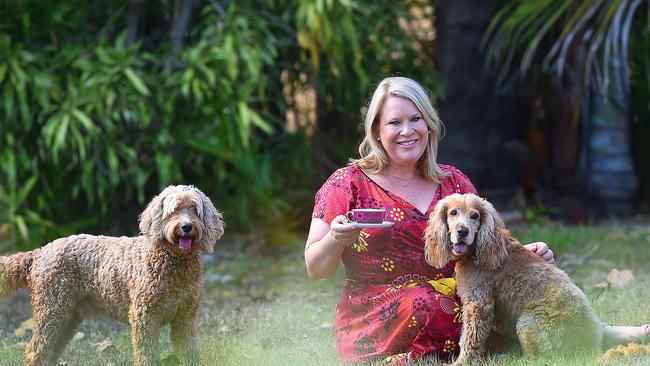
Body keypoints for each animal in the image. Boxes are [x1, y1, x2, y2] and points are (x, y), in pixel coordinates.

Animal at [0, 186, 223, 366]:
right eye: (174, 210)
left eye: (194, 209)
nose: (186, 226)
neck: (172, 261)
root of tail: (39, 252)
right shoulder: (145, 318)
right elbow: (147, 354)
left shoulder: (185, 319)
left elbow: (189, 352)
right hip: (52, 312)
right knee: (34, 352)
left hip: (67, 318)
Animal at [422, 193, 600, 364]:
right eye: (453, 212)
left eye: (475, 216)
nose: (462, 231)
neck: (478, 251)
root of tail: (590, 345)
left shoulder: (478, 304)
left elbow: (470, 338)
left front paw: (462, 362)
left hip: (527, 323)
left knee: (537, 359)